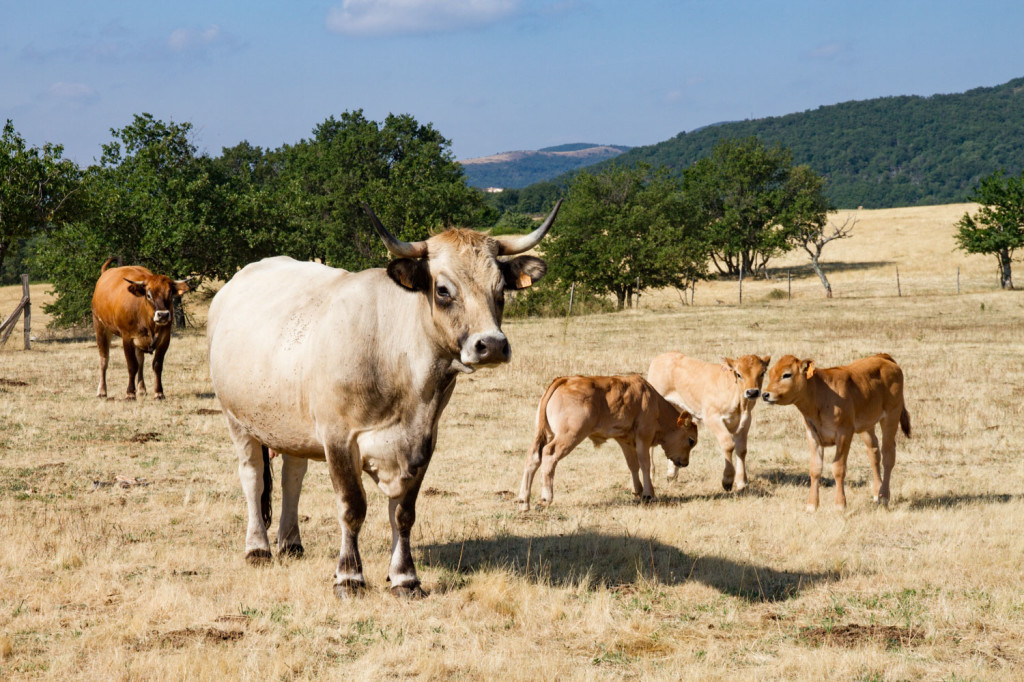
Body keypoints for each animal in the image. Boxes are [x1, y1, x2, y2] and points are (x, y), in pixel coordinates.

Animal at [91, 259, 190, 399]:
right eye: (148, 295)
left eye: (170, 293)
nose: (163, 315)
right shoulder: (127, 338)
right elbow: (132, 365)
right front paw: (130, 393)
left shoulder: (165, 339)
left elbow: (156, 365)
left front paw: (159, 392)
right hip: (100, 326)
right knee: (104, 359)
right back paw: (102, 391)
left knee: (140, 361)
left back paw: (142, 389)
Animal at [516, 372, 700, 509]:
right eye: (691, 440)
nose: (685, 463)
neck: (652, 401)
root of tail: (564, 380)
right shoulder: (643, 436)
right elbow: (645, 464)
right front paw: (649, 494)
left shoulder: (624, 440)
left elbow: (632, 465)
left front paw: (638, 491)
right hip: (569, 435)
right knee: (549, 454)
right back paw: (545, 498)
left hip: (545, 433)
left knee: (533, 456)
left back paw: (524, 501)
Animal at [647, 350, 770, 489]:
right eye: (738, 374)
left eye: (762, 373)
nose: (752, 392)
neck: (739, 402)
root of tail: (662, 356)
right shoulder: (712, 417)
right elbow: (728, 445)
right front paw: (727, 480)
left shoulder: (745, 420)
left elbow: (742, 450)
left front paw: (742, 482)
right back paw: (651, 474)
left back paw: (672, 473)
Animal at [761, 352, 913, 507]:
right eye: (770, 373)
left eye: (786, 374)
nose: (765, 394)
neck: (821, 396)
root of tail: (882, 357)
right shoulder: (812, 434)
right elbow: (815, 468)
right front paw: (812, 505)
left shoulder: (844, 433)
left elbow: (838, 468)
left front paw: (840, 504)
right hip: (867, 425)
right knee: (874, 453)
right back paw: (877, 493)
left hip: (891, 416)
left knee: (888, 455)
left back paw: (884, 496)